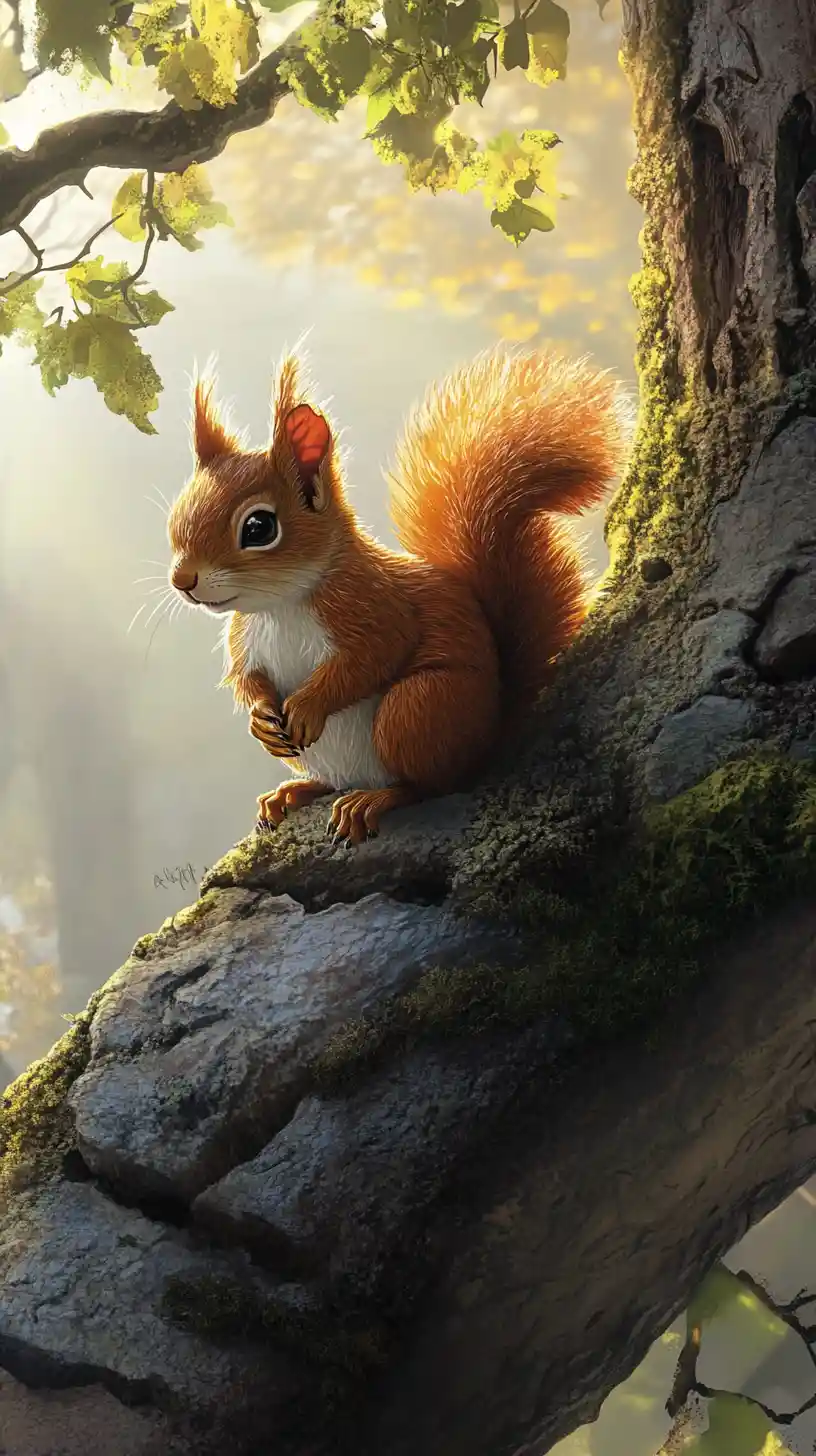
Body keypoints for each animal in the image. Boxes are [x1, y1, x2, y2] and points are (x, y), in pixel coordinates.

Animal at [167, 345, 629, 845]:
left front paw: (308, 706)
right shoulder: (245, 641)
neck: (280, 604)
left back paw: (373, 800)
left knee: (429, 784)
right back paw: (291, 792)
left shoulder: (375, 606)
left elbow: (373, 656)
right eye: (176, 515)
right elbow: (246, 679)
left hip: (419, 709)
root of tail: (490, 736)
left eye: (258, 528)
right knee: (335, 780)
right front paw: (260, 717)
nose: (182, 580)